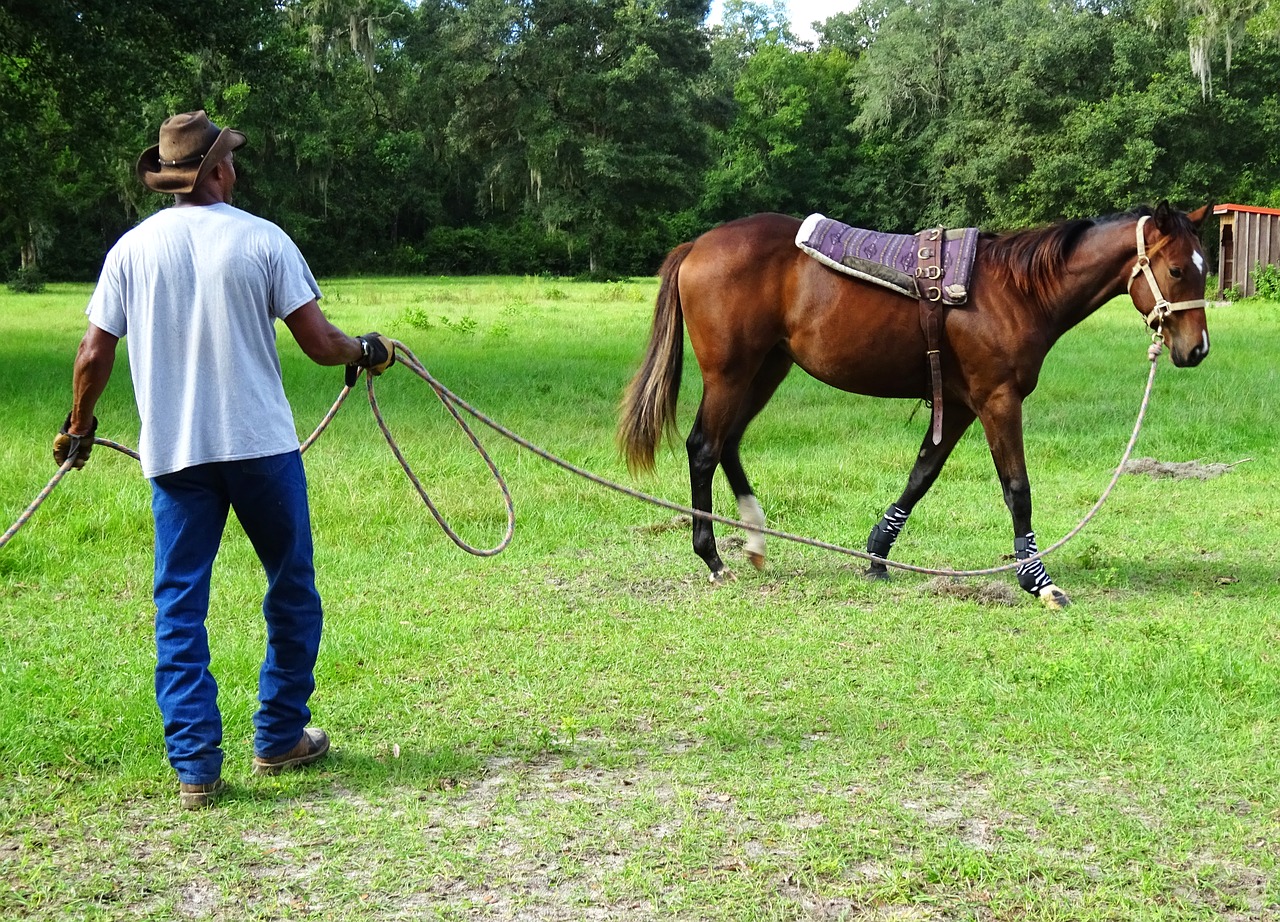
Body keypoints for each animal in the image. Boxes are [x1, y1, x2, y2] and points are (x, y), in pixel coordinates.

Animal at [619, 202, 1208, 609]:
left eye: (1205, 268)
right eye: (1179, 270)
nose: (1196, 350)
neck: (1015, 291)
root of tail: (698, 245)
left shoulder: (963, 405)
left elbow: (921, 475)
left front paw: (877, 553)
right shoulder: (997, 399)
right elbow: (1016, 489)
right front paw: (1038, 581)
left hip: (766, 369)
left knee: (729, 444)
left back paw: (755, 536)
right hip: (731, 373)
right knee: (704, 447)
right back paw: (713, 556)